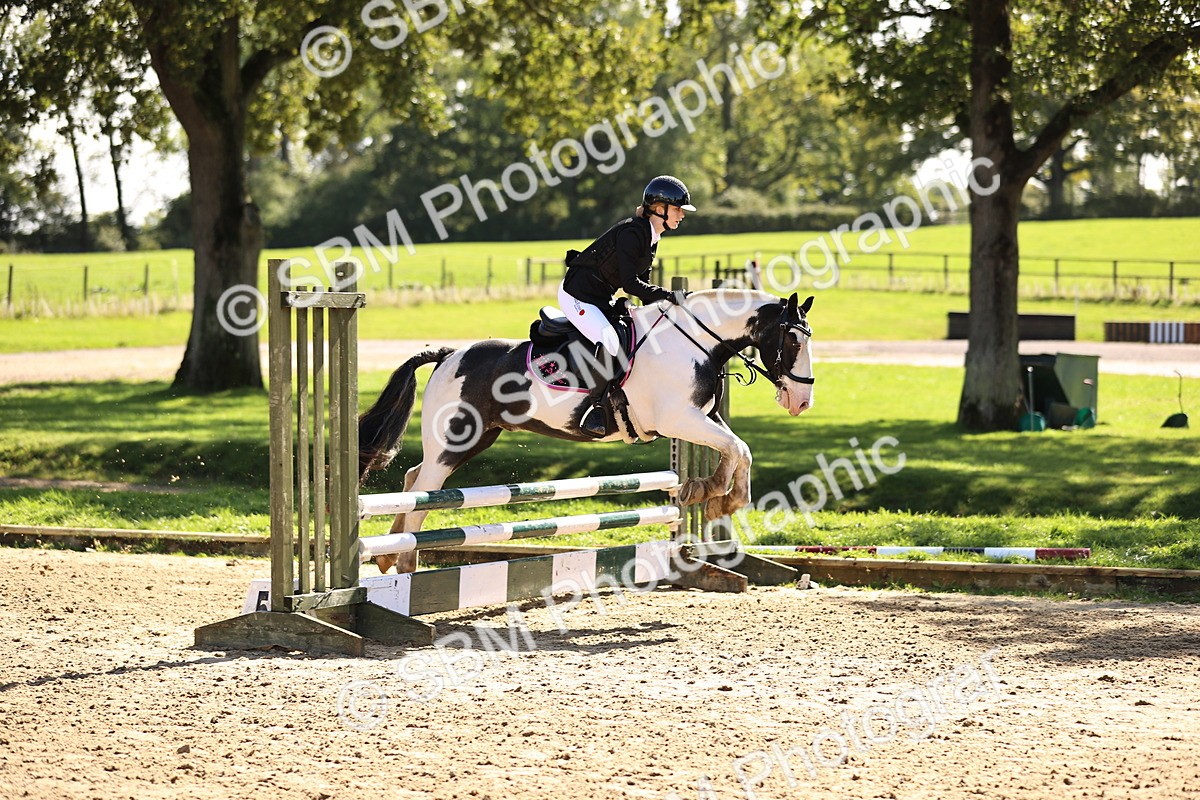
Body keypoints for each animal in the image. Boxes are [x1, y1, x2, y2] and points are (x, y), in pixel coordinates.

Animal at [358, 289, 816, 573]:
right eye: (793, 341)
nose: (802, 401)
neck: (694, 343)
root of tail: (450, 354)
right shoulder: (678, 419)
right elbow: (735, 449)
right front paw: (718, 494)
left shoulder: (701, 419)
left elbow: (741, 449)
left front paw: (716, 496)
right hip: (454, 440)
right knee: (424, 491)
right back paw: (402, 562)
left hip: (475, 437)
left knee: (414, 479)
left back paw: (388, 556)